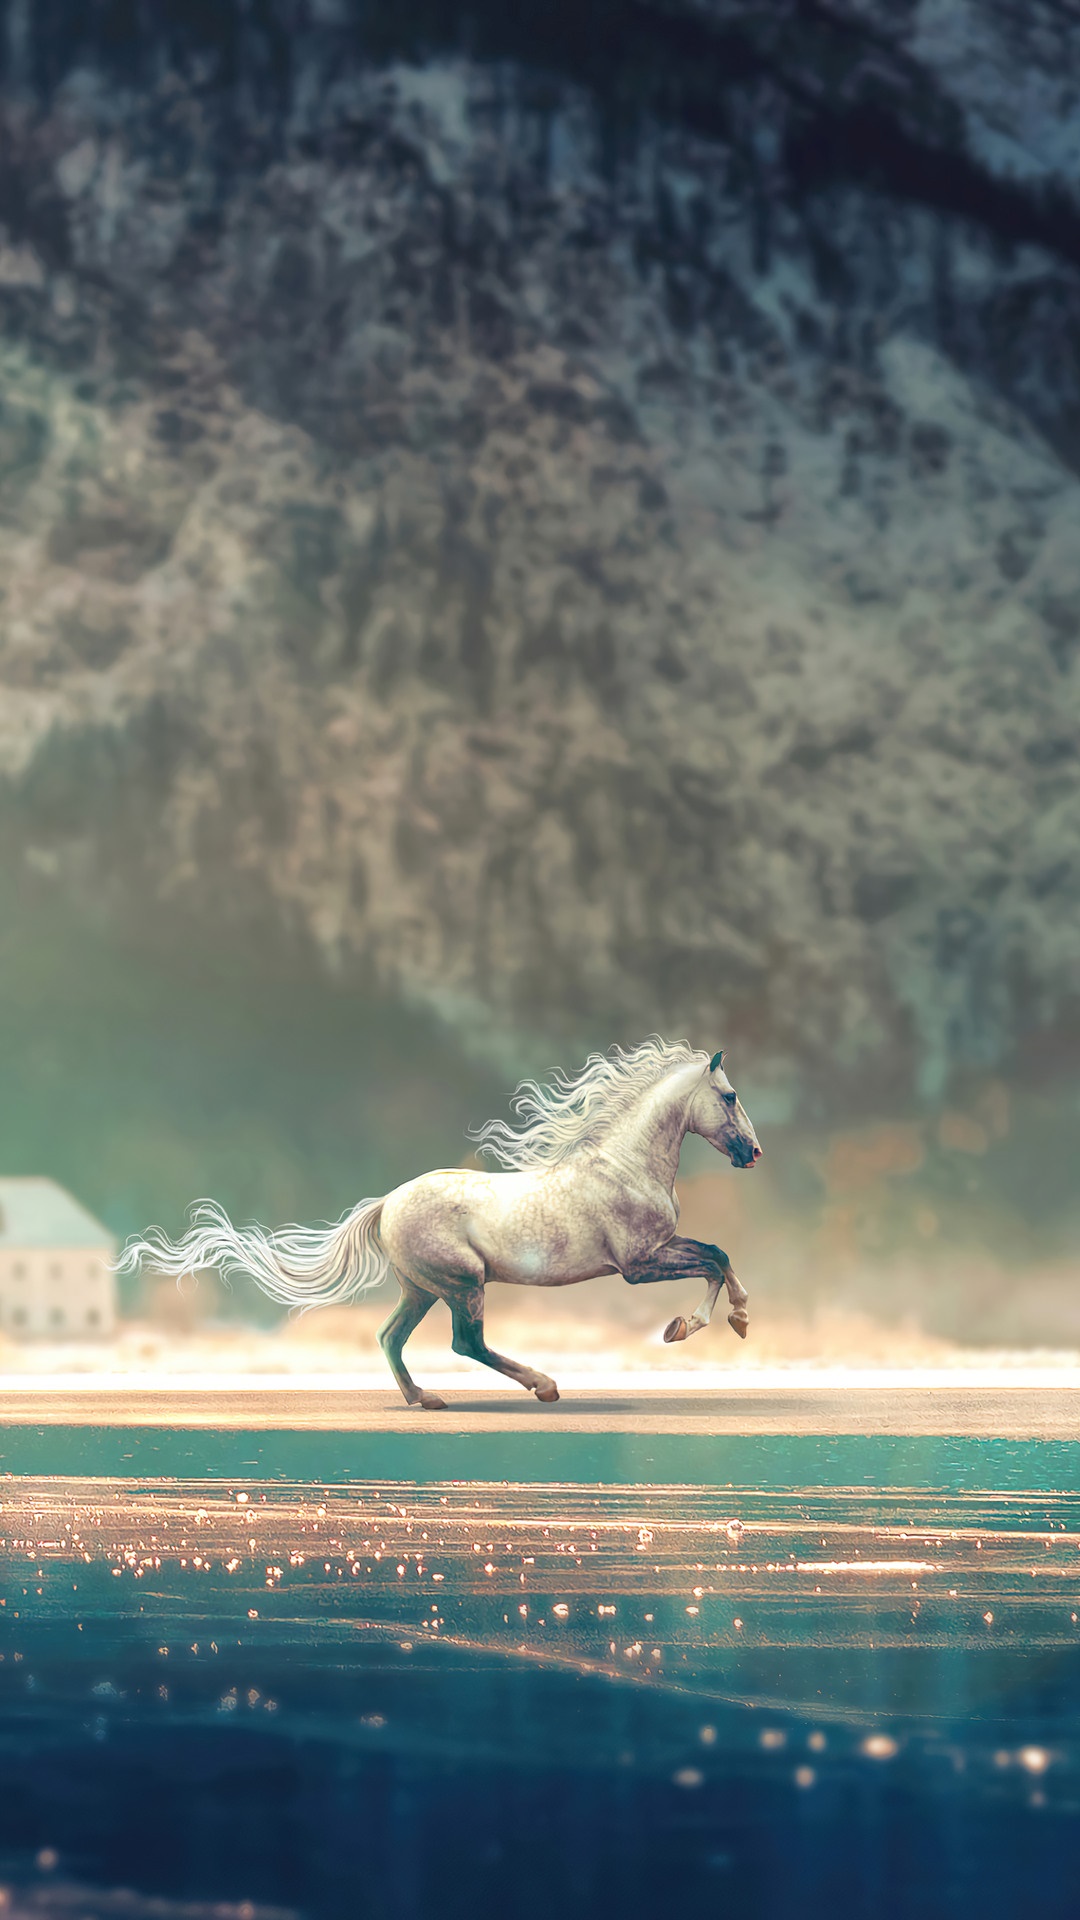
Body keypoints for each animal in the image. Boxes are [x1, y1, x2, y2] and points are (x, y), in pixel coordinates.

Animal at [117, 1037, 763, 1409]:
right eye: (729, 1096)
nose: (753, 1153)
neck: (625, 1164)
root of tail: (386, 1203)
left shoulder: (658, 1248)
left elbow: (718, 1254)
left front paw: (723, 1321)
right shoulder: (637, 1262)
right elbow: (717, 1257)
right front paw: (699, 1325)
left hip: (421, 1288)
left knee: (390, 1336)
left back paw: (424, 1399)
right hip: (462, 1284)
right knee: (464, 1341)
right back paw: (544, 1387)